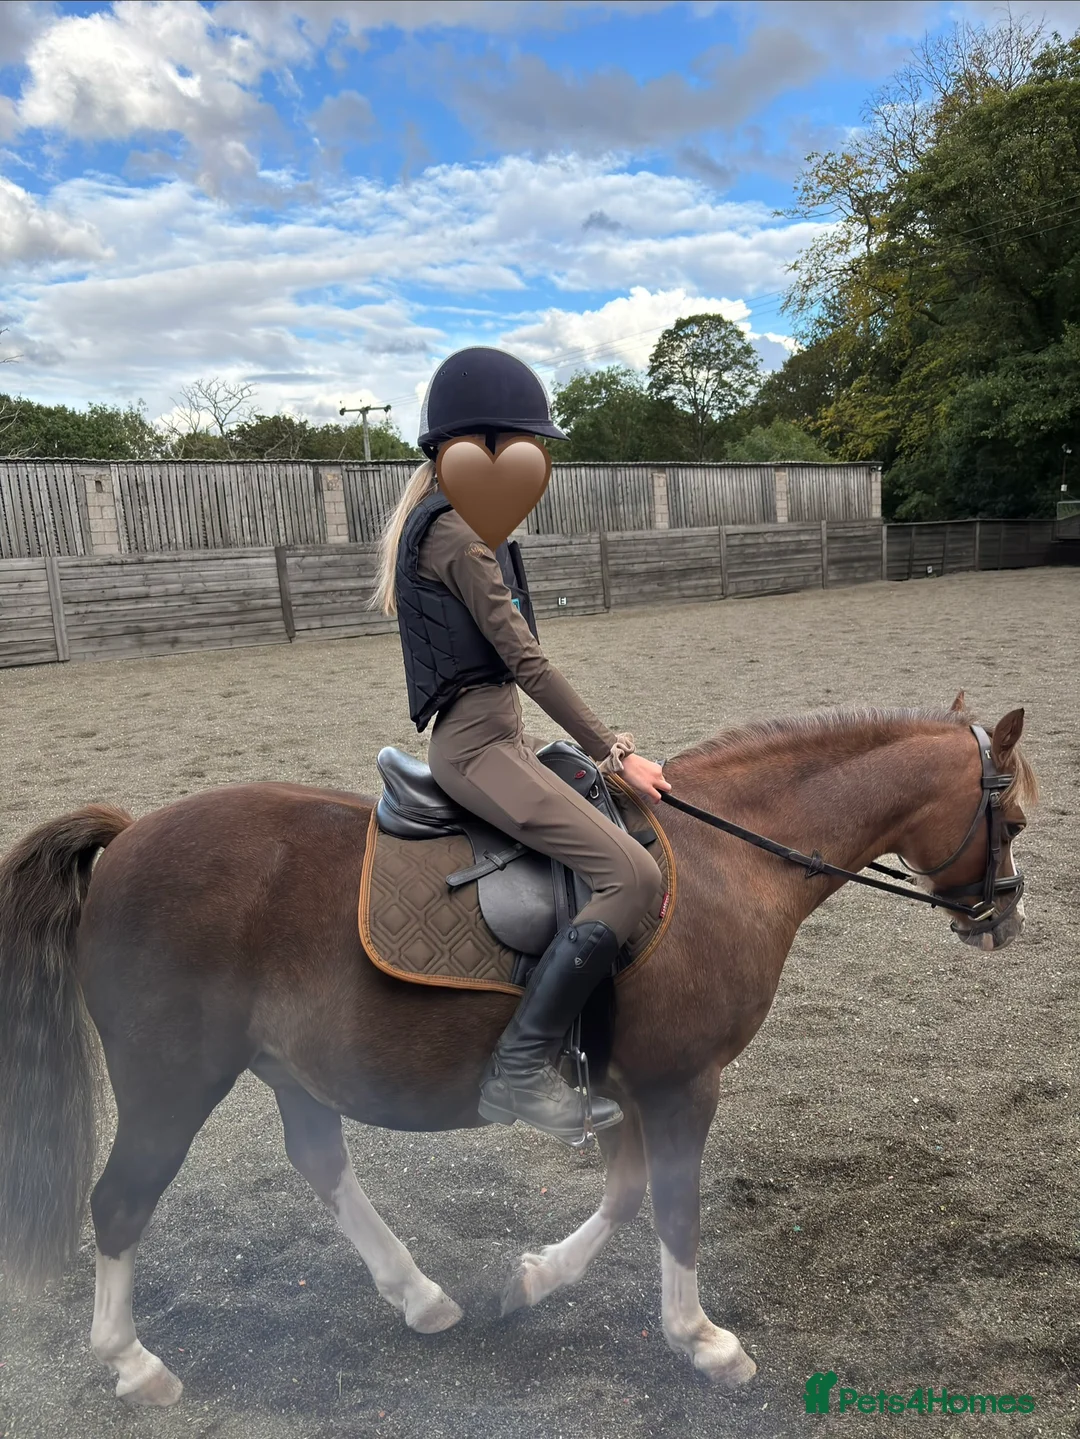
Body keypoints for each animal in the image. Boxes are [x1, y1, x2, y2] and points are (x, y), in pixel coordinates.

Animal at [0, 698, 1035, 1407]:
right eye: (1015, 821)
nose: (1006, 919)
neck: (721, 865)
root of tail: (130, 836)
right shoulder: (682, 1082)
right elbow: (675, 1207)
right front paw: (702, 1339)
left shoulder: (621, 1083)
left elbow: (625, 1196)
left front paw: (534, 1279)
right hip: (172, 1081)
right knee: (121, 1201)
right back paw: (135, 1364)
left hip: (288, 1066)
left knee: (320, 1159)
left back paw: (419, 1295)